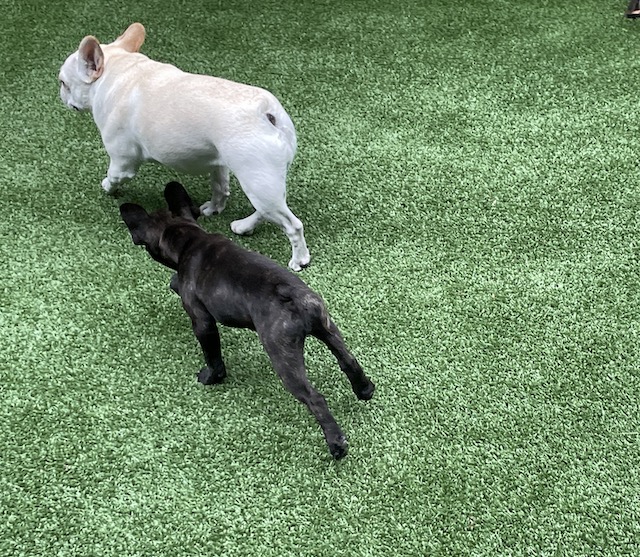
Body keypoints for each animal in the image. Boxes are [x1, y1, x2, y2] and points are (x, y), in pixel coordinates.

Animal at [59, 23, 310, 271]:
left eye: (64, 83)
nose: (59, 92)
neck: (119, 71)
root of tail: (267, 112)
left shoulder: (122, 161)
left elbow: (114, 176)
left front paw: (107, 187)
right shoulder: (218, 164)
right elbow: (221, 187)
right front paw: (214, 208)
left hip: (258, 182)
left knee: (292, 225)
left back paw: (299, 259)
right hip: (262, 183)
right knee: (264, 209)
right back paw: (243, 225)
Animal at [119, 182, 375, 459]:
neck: (189, 239)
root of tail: (290, 294)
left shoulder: (201, 321)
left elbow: (212, 354)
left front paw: (211, 377)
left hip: (282, 356)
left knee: (314, 398)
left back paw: (336, 444)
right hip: (327, 327)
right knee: (348, 360)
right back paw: (364, 389)